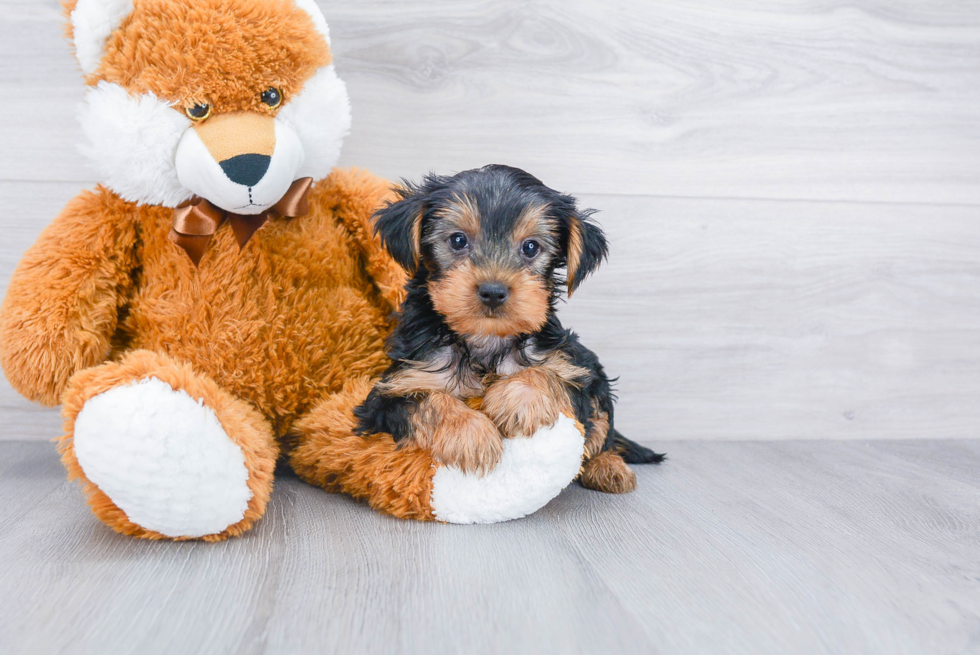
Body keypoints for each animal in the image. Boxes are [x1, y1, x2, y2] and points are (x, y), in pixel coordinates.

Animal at [354, 167, 668, 494]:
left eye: (531, 247)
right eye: (457, 240)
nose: (493, 291)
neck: (486, 339)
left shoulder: (571, 369)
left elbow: (548, 376)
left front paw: (517, 400)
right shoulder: (391, 391)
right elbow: (426, 401)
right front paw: (471, 434)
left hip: (594, 372)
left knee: (603, 430)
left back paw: (608, 466)